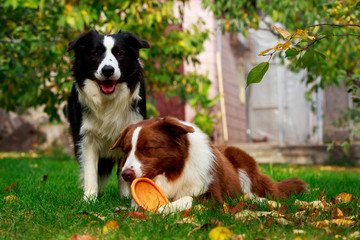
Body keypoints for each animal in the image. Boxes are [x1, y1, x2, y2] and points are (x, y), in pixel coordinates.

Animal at [67, 29, 150, 199]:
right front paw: (89, 198)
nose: (107, 70)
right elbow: (90, 170)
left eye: (119, 53)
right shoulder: (87, 136)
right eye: (95, 53)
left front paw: (126, 197)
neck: (108, 100)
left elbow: (124, 170)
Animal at [110, 116, 306, 212]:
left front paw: (165, 208)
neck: (174, 171)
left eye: (147, 148)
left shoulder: (212, 197)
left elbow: (188, 198)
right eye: (126, 150)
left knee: (256, 192)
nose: (126, 175)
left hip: (245, 164)